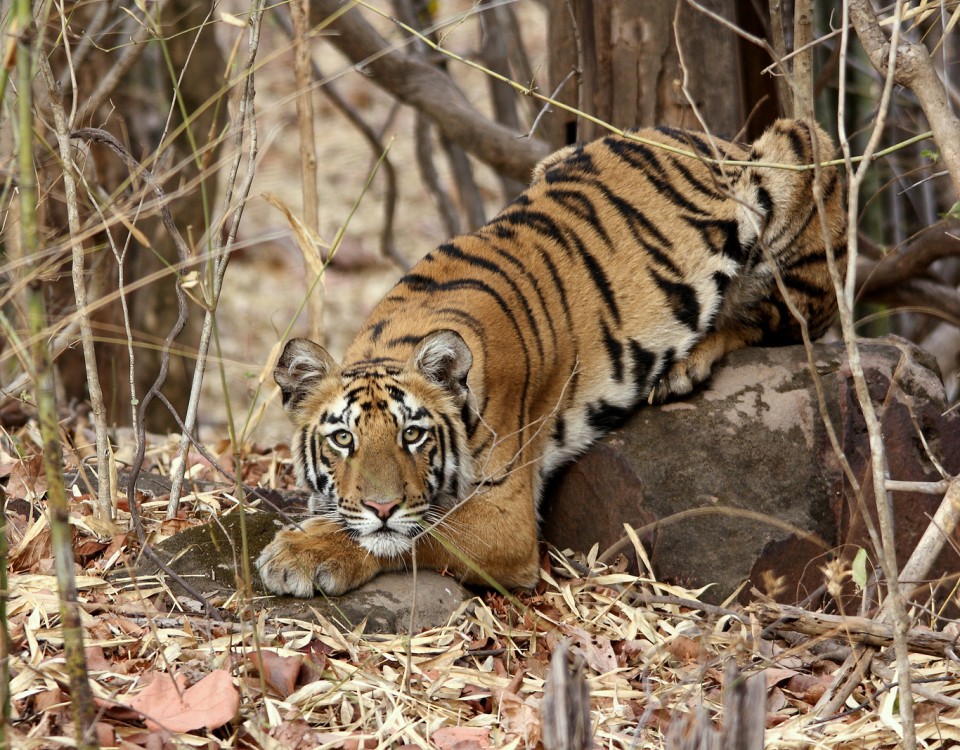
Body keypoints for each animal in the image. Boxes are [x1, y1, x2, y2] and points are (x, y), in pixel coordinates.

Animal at [256, 117, 848, 600]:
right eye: (342, 439)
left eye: (413, 435)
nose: (381, 506)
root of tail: (716, 138)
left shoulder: (503, 518)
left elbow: (414, 532)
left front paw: (303, 554)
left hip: (800, 151)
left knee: (781, 321)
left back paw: (687, 365)